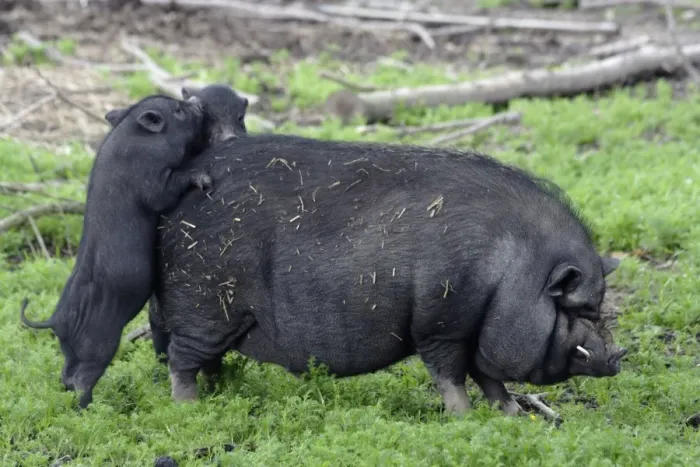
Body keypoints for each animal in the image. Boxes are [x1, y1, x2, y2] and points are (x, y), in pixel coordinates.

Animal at [19, 94, 212, 409]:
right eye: (179, 110)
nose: (196, 100)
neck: (137, 140)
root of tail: (56, 320)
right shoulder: (152, 181)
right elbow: (166, 192)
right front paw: (203, 178)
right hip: (100, 343)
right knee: (83, 377)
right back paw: (89, 408)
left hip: (70, 348)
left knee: (66, 373)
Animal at [149, 133, 625, 414]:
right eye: (575, 308)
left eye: (598, 308)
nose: (618, 356)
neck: (508, 272)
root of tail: (166, 217)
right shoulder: (441, 324)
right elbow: (452, 374)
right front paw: (464, 417)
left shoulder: (475, 330)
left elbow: (489, 378)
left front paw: (512, 416)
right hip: (204, 304)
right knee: (181, 359)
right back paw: (190, 409)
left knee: (207, 360)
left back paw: (224, 394)